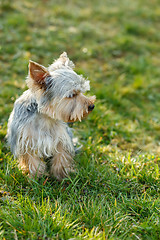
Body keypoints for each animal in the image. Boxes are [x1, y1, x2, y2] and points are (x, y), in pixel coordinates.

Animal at [7, 52, 95, 180]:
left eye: (82, 91)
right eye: (72, 95)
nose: (91, 106)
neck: (45, 116)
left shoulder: (61, 138)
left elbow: (61, 156)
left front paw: (62, 176)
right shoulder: (27, 141)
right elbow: (32, 161)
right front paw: (35, 177)